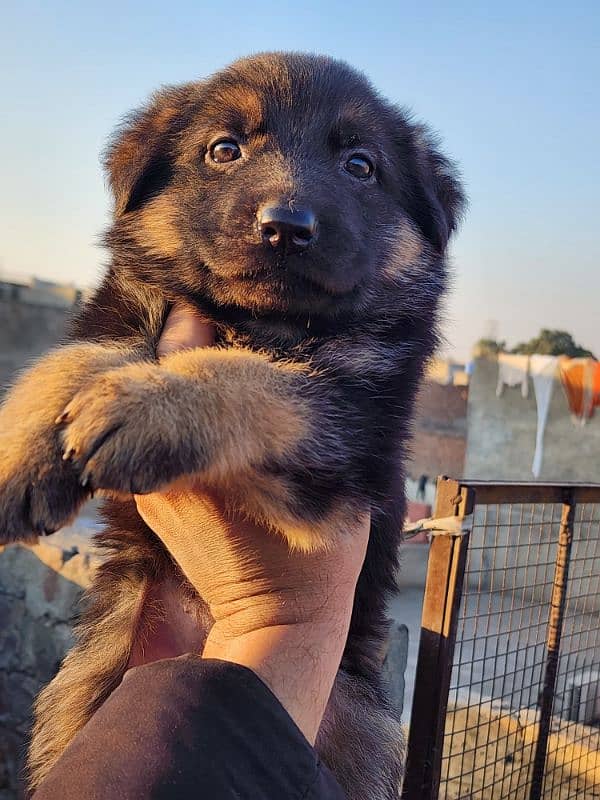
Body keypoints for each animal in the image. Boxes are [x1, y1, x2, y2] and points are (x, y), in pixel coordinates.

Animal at [0, 53, 464, 796]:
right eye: (225, 150)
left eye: (360, 166)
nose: (287, 226)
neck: (262, 318)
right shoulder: (126, 309)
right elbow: (79, 355)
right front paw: (23, 451)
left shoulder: (348, 434)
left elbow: (257, 377)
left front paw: (153, 407)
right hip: (79, 689)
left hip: (357, 730)